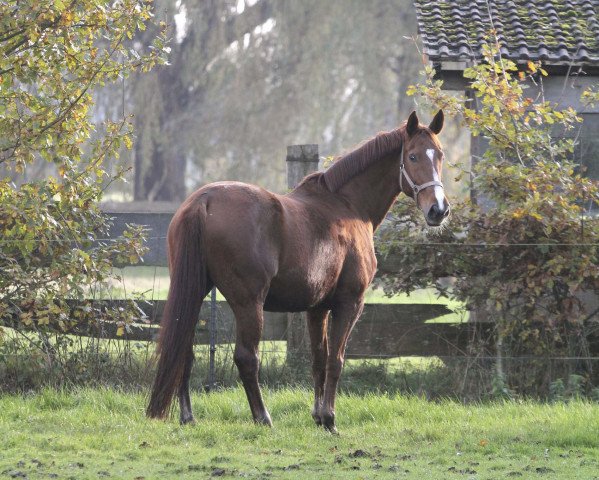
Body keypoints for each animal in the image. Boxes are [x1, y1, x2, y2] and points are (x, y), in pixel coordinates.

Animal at [148, 110, 450, 434]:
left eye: (440, 154)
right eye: (413, 156)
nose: (439, 210)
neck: (348, 206)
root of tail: (203, 201)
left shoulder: (317, 308)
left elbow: (318, 359)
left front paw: (318, 416)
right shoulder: (349, 303)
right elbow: (336, 360)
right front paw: (330, 419)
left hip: (193, 293)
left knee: (184, 350)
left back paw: (188, 416)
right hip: (248, 302)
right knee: (246, 357)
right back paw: (262, 417)